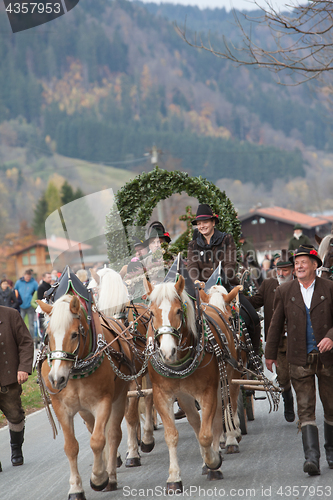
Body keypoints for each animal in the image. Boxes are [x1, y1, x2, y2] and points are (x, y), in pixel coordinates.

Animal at [38, 292, 136, 498]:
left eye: (74, 334)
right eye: (48, 335)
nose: (56, 378)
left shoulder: (103, 402)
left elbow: (98, 441)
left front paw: (99, 477)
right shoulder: (62, 408)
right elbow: (71, 447)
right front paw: (75, 488)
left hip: (120, 396)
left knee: (113, 434)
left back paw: (111, 475)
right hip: (85, 410)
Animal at [89, 268, 154, 466]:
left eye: (124, 304)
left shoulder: (132, 380)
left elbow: (131, 416)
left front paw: (132, 453)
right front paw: (115, 455)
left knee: (149, 399)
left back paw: (146, 439)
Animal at [144, 276, 243, 494]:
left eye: (178, 311)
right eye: (151, 313)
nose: (167, 352)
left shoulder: (208, 391)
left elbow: (207, 434)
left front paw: (214, 461)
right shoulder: (162, 395)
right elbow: (172, 435)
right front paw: (174, 477)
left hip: (227, 381)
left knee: (221, 415)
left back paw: (225, 445)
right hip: (186, 396)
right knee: (196, 421)